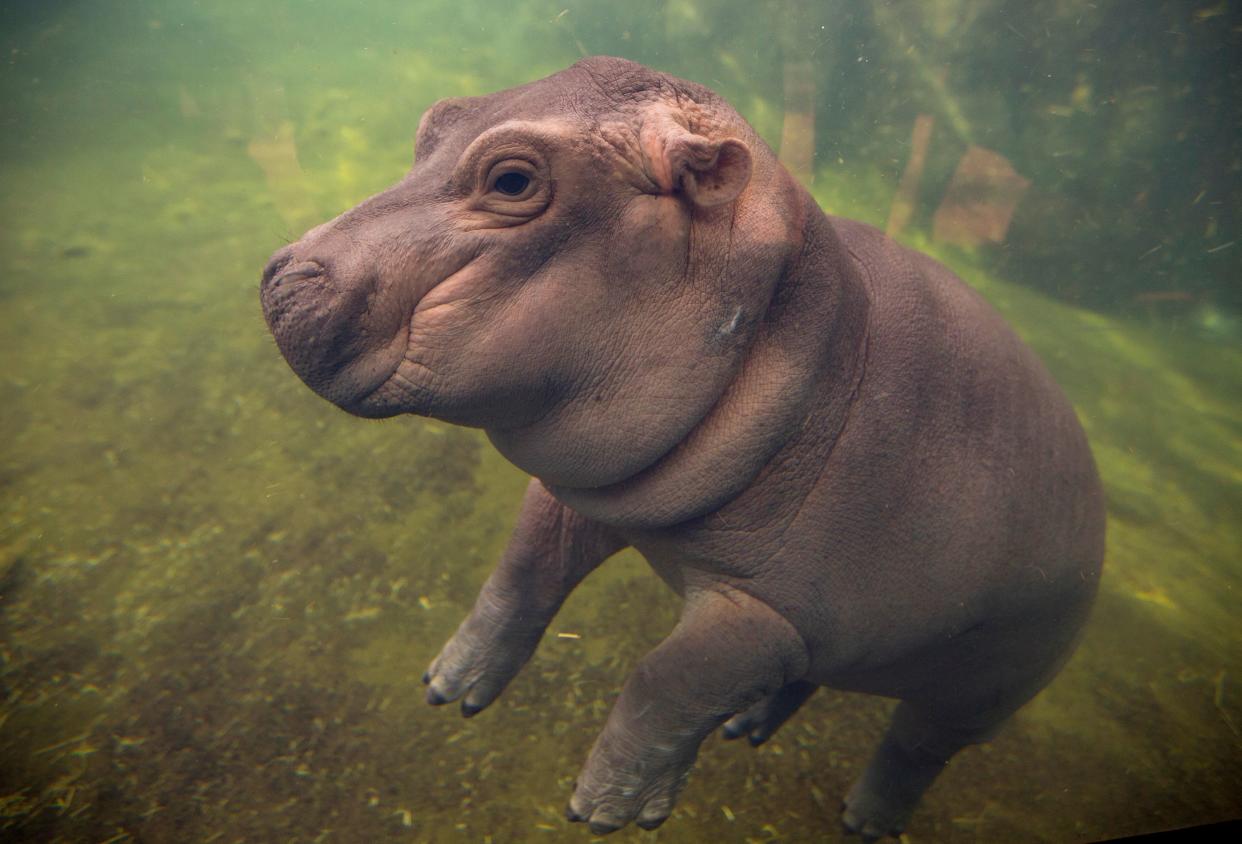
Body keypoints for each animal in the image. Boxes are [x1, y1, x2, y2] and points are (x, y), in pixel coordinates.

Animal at [259, 54, 1107, 839]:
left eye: (512, 179)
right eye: (435, 120)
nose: (280, 276)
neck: (807, 333)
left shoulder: (768, 611)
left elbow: (666, 678)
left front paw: (605, 811)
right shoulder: (590, 492)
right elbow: (521, 575)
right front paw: (447, 687)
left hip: (982, 687)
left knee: (915, 747)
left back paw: (865, 821)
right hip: (853, 641)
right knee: (808, 679)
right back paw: (745, 727)